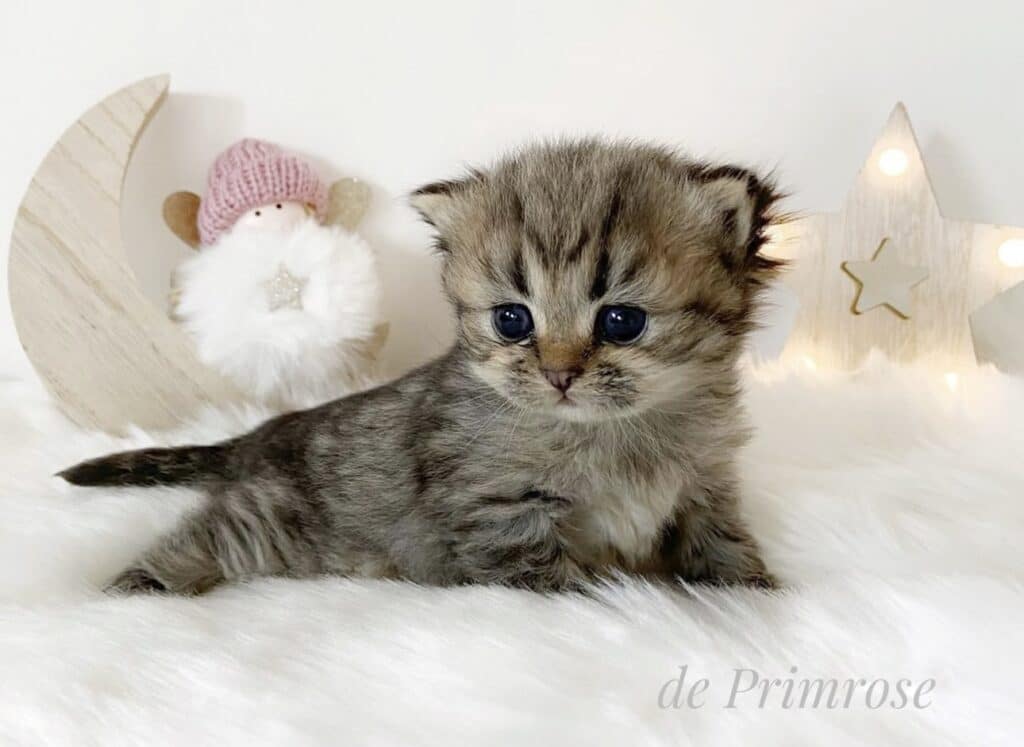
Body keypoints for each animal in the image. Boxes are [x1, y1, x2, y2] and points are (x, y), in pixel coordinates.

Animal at [61, 138, 782, 594]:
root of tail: (265, 433)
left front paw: (754, 588)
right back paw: (134, 586)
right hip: (270, 525)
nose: (559, 375)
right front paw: (602, 595)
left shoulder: (706, 484)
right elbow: (548, 573)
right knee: (205, 537)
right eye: (513, 320)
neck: (616, 430)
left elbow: (722, 539)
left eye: (621, 322)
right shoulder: (498, 511)